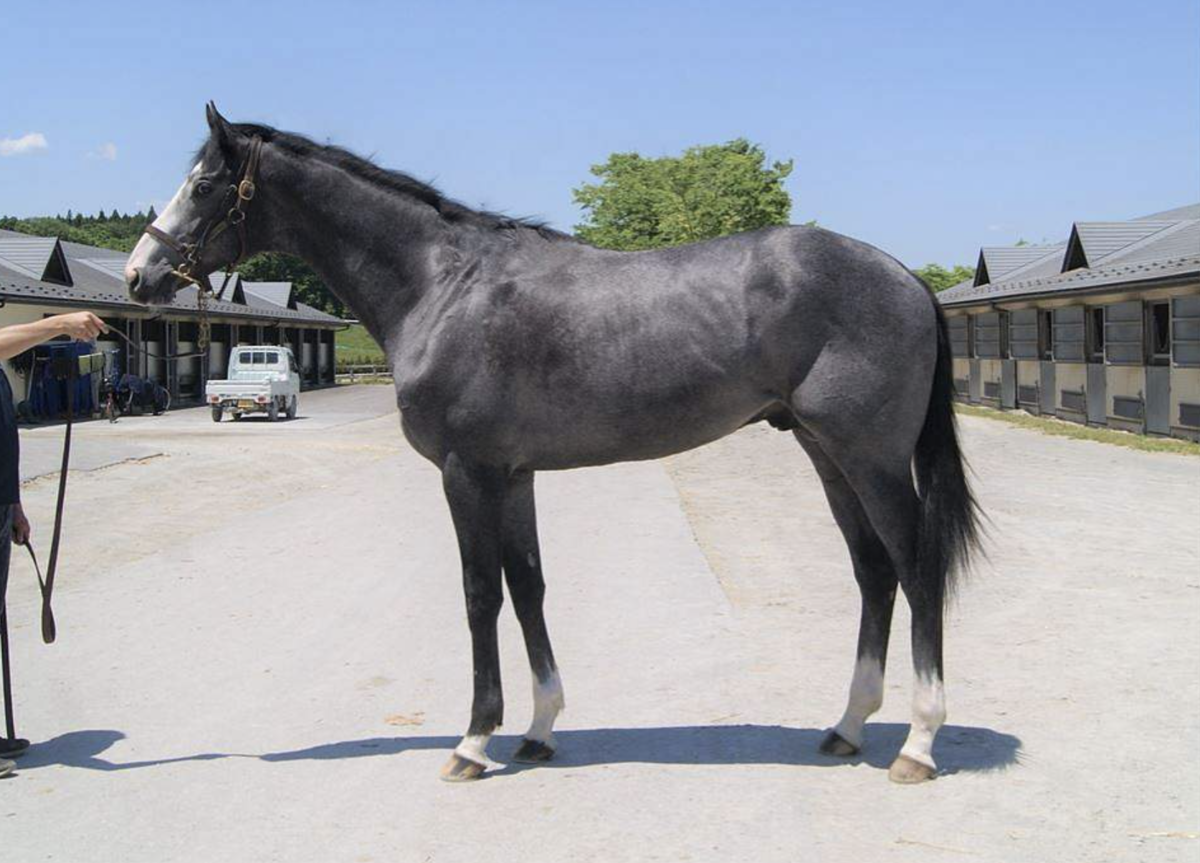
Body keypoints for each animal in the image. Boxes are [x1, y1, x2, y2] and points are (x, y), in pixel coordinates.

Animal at [125, 103, 980, 784]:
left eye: (205, 184)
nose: (140, 273)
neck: (443, 286)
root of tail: (905, 277)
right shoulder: (513, 475)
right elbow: (529, 585)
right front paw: (538, 729)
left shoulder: (467, 472)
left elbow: (479, 593)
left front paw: (474, 741)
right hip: (826, 454)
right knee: (874, 572)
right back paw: (847, 728)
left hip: (871, 461)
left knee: (915, 569)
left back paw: (918, 743)